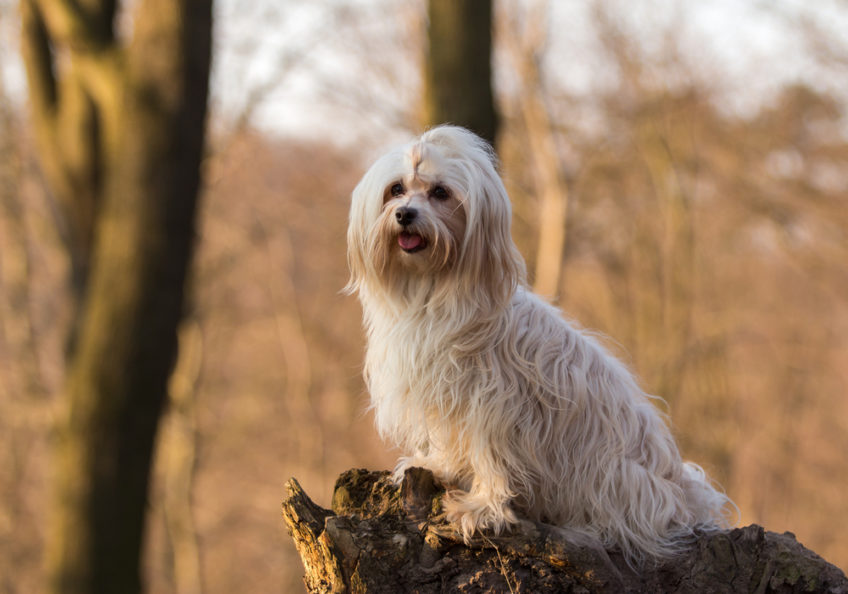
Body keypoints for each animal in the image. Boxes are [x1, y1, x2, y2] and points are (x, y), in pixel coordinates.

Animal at [344, 126, 736, 564]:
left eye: (441, 192)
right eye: (396, 189)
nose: (405, 214)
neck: (431, 294)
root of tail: (683, 496)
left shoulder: (495, 406)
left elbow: (492, 459)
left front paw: (482, 509)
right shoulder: (448, 400)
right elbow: (451, 444)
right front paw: (439, 466)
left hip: (607, 475)